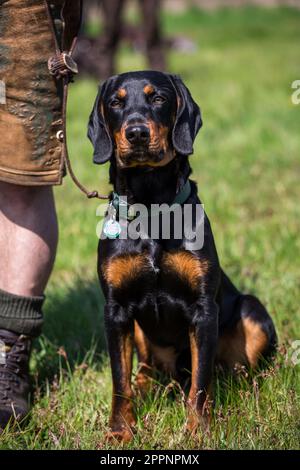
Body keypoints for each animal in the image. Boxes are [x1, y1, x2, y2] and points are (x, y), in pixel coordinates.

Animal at [86, 70, 276, 440]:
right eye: (115, 102)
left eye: (158, 98)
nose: (137, 132)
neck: (151, 207)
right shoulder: (115, 308)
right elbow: (119, 379)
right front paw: (120, 430)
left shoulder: (203, 308)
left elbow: (200, 381)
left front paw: (198, 429)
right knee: (144, 368)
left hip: (251, 311)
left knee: (235, 368)